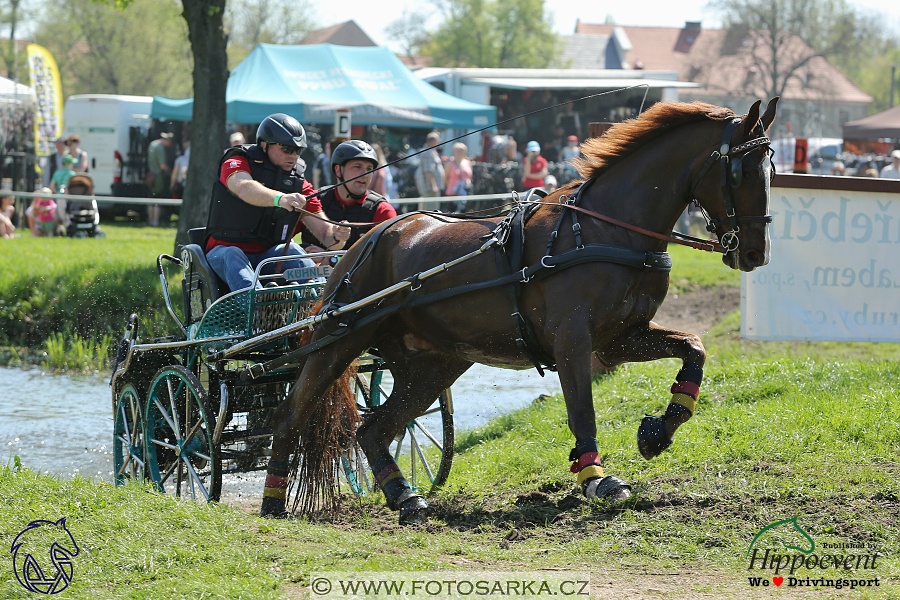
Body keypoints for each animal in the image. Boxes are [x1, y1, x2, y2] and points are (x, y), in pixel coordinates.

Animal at [262, 96, 780, 524]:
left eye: (771, 170)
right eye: (743, 171)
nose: (756, 253)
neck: (607, 229)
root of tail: (370, 237)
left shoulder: (621, 338)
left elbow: (694, 349)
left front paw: (658, 430)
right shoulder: (574, 338)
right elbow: (581, 408)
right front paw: (596, 477)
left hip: (435, 362)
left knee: (375, 429)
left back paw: (404, 497)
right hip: (340, 339)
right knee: (289, 414)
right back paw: (272, 500)